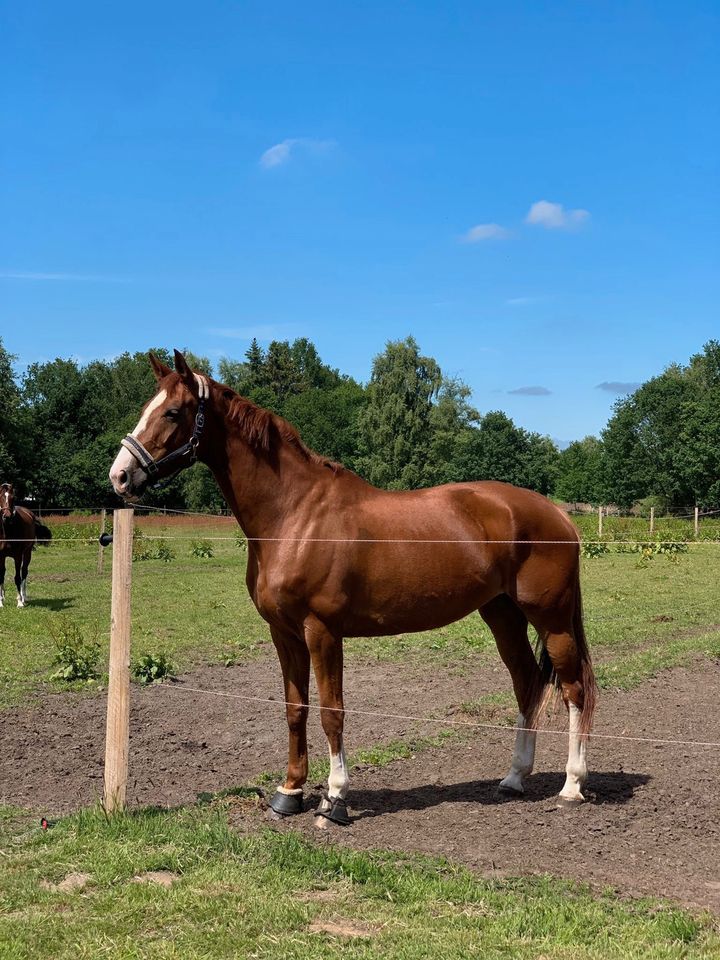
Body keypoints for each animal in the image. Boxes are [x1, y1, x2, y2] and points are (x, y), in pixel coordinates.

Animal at [0, 484, 52, 612]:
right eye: (1, 497)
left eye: (13, 497)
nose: (7, 516)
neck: (7, 530)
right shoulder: (0, 556)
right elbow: (1, 576)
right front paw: (1, 602)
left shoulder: (18, 556)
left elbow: (17, 577)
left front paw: (19, 602)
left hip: (27, 553)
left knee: (24, 572)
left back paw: (24, 598)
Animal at [109, 352, 596, 824]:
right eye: (147, 407)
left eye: (173, 412)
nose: (120, 476)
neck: (294, 516)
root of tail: (558, 514)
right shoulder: (284, 634)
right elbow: (295, 709)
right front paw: (290, 793)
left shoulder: (322, 631)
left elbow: (332, 712)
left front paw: (335, 798)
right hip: (501, 613)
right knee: (527, 682)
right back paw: (514, 778)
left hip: (551, 619)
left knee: (573, 689)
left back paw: (571, 786)